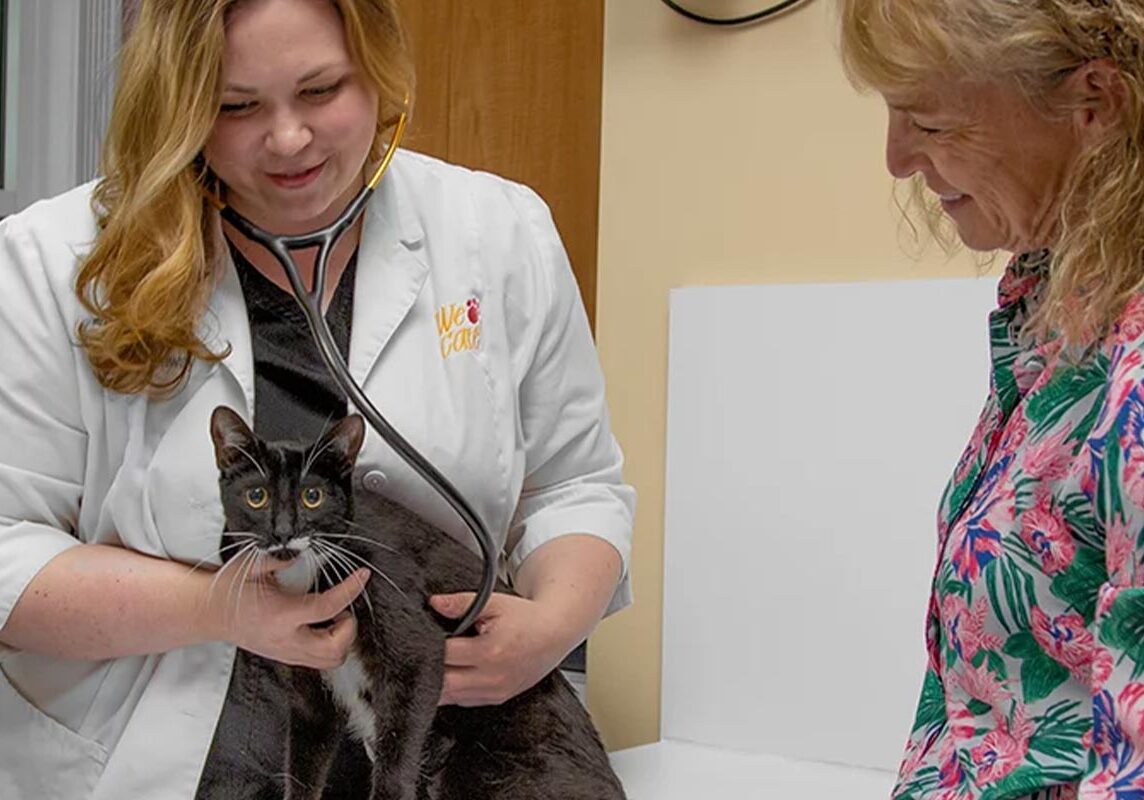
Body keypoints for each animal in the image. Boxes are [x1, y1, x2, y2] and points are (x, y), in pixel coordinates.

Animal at [210, 407, 631, 800]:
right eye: (257, 496)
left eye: (312, 497)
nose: (284, 532)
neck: (310, 574)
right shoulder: (309, 685)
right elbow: (303, 767)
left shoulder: (407, 627)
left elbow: (398, 752)